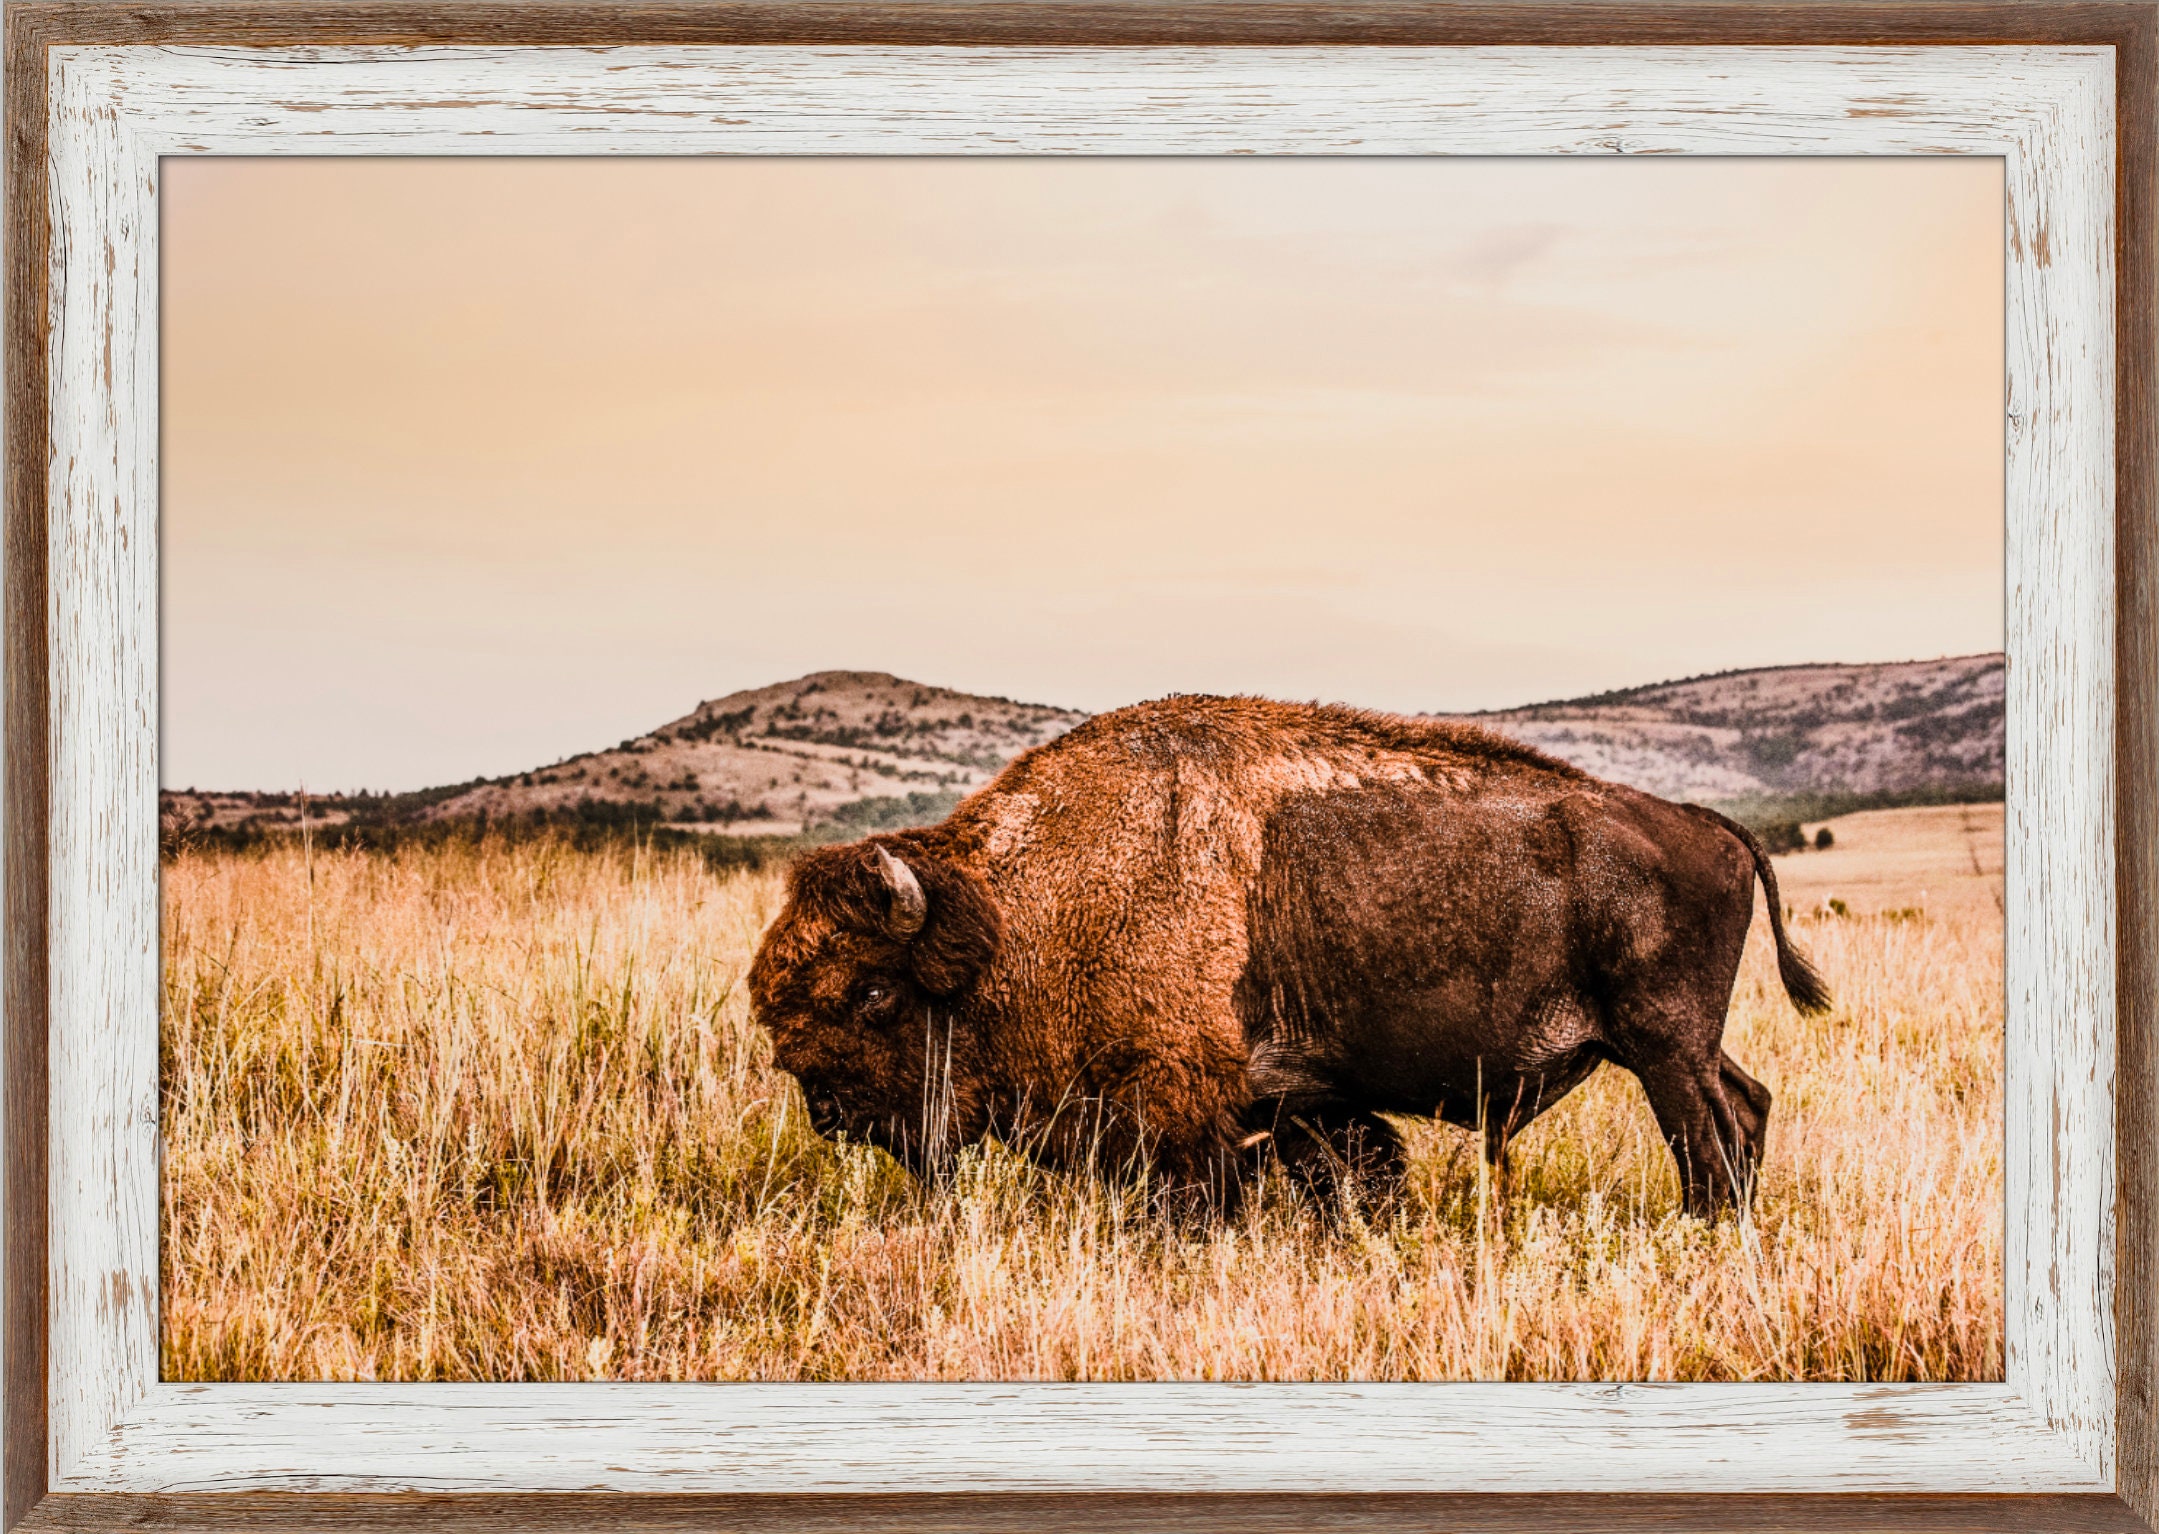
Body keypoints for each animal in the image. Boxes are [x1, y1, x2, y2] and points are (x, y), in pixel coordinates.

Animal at [747, 695, 1830, 1218]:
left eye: (873, 990)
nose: (823, 1105)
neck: (1020, 913)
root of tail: (1705, 822)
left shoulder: (1181, 1111)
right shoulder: (1298, 1101)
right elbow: (1350, 1171)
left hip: (1661, 1048)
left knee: (1710, 1138)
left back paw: (1703, 1229)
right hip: (1672, 1044)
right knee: (1748, 1103)